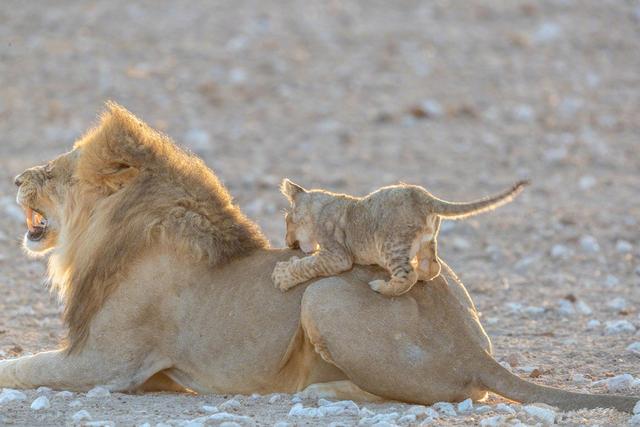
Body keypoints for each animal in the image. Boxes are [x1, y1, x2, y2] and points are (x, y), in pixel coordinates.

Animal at [1, 102, 636, 412]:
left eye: (53, 172)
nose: (16, 178)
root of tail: (475, 349)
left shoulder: (106, 364)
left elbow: (21, 366)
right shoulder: (141, 373)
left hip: (325, 296)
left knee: (445, 394)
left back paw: (321, 393)